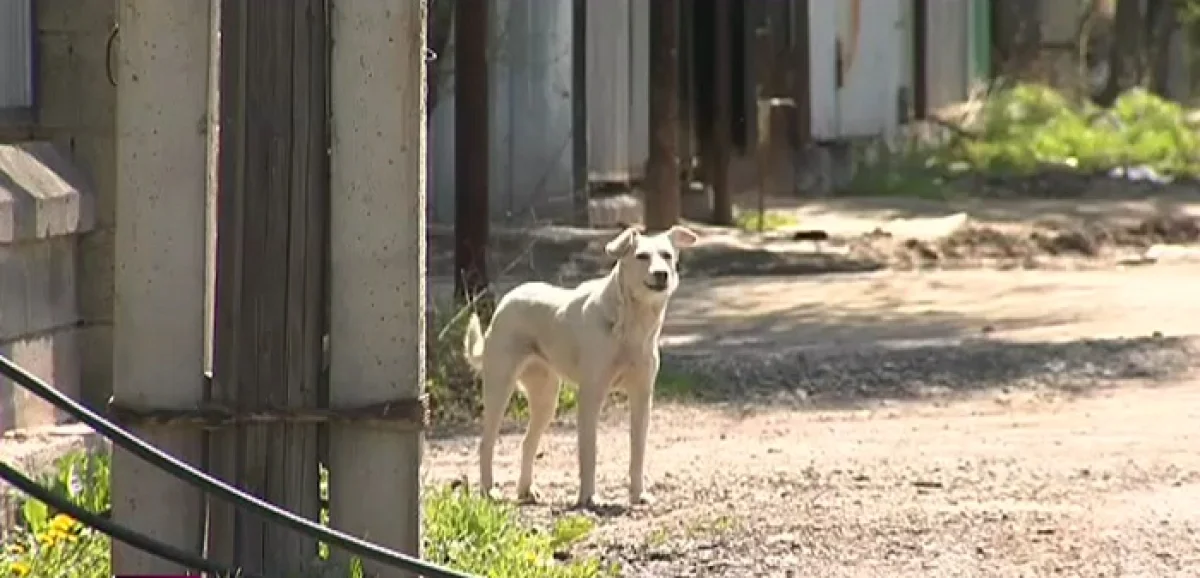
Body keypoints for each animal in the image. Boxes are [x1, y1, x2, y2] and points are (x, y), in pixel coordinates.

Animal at [460, 223, 700, 508]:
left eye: (666, 255)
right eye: (642, 256)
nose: (662, 275)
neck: (630, 323)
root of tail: (507, 300)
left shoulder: (642, 398)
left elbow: (637, 451)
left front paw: (638, 494)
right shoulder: (590, 396)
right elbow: (589, 451)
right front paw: (589, 497)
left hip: (546, 399)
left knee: (527, 444)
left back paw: (526, 490)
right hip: (500, 389)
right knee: (486, 443)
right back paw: (489, 490)